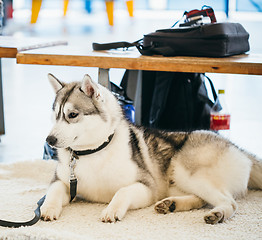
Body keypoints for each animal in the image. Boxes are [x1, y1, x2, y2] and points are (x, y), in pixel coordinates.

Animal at [42, 73, 262, 225]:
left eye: (72, 115)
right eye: (55, 115)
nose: (49, 139)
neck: (93, 152)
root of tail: (239, 149)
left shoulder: (147, 187)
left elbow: (122, 191)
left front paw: (112, 210)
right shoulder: (63, 181)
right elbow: (53, 191)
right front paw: (48, 208)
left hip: (185, 171)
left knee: (230, 202)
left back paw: (218, 213)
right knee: (201, 199)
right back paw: (172, 204)